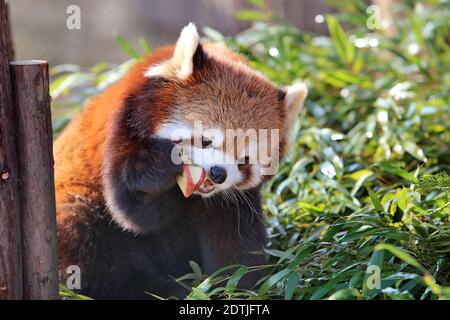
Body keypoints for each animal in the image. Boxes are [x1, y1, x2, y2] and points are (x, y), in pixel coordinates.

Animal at [53, 23, 306, 300]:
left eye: (245, 160)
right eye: (206, 140)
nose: (218, 173)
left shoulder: (230, 200)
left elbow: (235, 238)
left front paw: (237, 285)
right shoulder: (123, 129)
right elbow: (134, 212)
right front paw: (162, 165)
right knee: (97, 250)